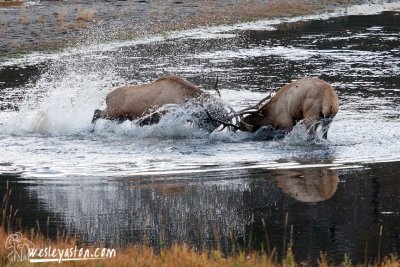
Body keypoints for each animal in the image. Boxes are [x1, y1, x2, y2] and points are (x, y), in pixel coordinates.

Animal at [91, 74, 228, 133]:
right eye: (212, 120)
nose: (208, 132)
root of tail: (107, 97)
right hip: (112, 113)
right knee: (96, 112)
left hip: (119, 117)